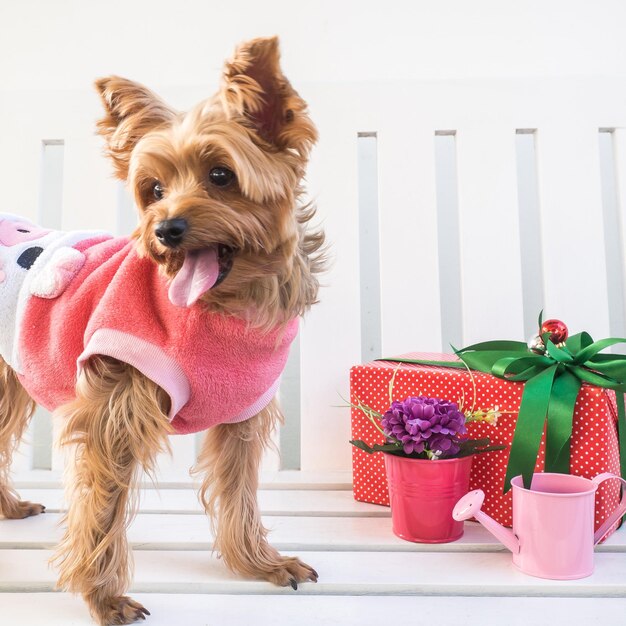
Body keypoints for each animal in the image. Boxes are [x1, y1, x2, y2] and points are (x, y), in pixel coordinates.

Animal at [0, 36, 322, 620]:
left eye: (221, 175)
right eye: (152, 189)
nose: (167, 229)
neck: (222, 311)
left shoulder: (241, 416)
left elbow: (240, 493)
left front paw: (260, 563)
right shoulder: (113, 408)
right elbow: (102, 510)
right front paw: (103, 596)